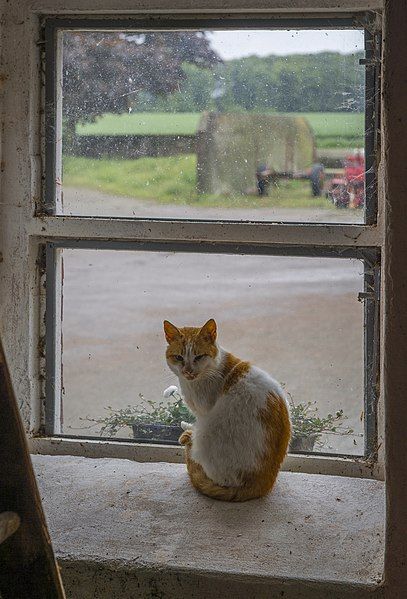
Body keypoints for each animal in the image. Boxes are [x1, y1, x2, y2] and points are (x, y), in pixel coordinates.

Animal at [164, 318, 292, 502]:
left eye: (199, 357)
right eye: (179, 357)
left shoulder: (202, 412)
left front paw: (187, 430)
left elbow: (193, 424)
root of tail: (263, 483)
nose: (187, 371)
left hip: (206, 431)